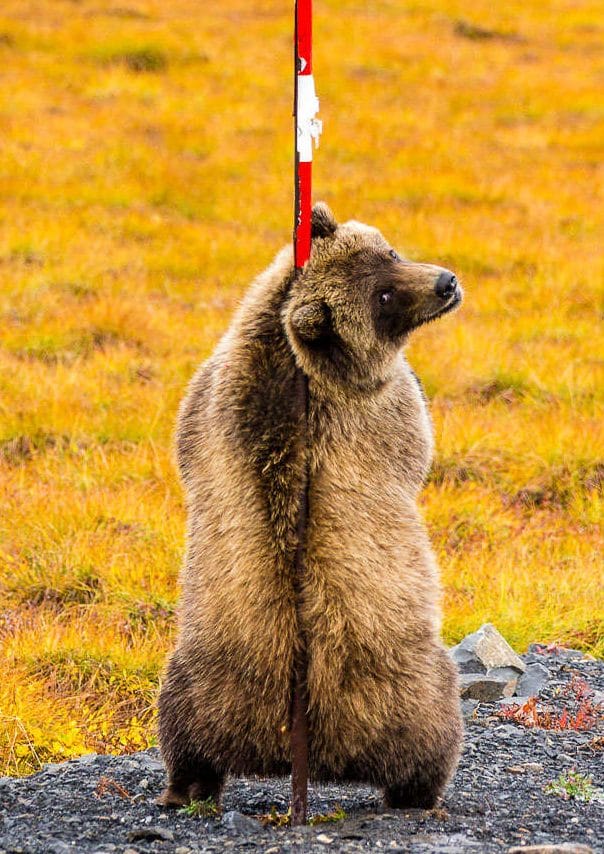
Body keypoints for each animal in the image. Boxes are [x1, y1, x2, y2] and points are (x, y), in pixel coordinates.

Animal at [158, 204, 464, 812]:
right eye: (383, 298)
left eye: (390, 253)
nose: (445, 283)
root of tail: (296, 736)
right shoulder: (377, 410)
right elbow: (417, 437)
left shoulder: (205, 401)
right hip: (401, 687)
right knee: (430, 734)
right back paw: (423, 793)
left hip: (204, 678)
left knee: (185, 735)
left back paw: (184, 787)